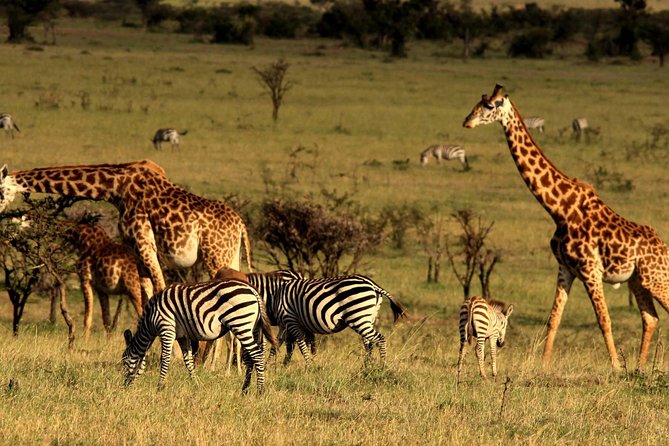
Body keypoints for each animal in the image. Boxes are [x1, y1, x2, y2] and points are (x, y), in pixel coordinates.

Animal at [463, 84, 669, 371]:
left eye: (490, 106)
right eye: (479, 101)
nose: (467, 121)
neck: (559, 209)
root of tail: (665, 249)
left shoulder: (590, 270)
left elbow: (604, 320)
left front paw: (616, 366)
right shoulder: (565, 268)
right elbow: (554, 319)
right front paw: (543, 365)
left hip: (655, 278)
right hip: (638, 280)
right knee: (650, 318)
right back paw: (639, 367)